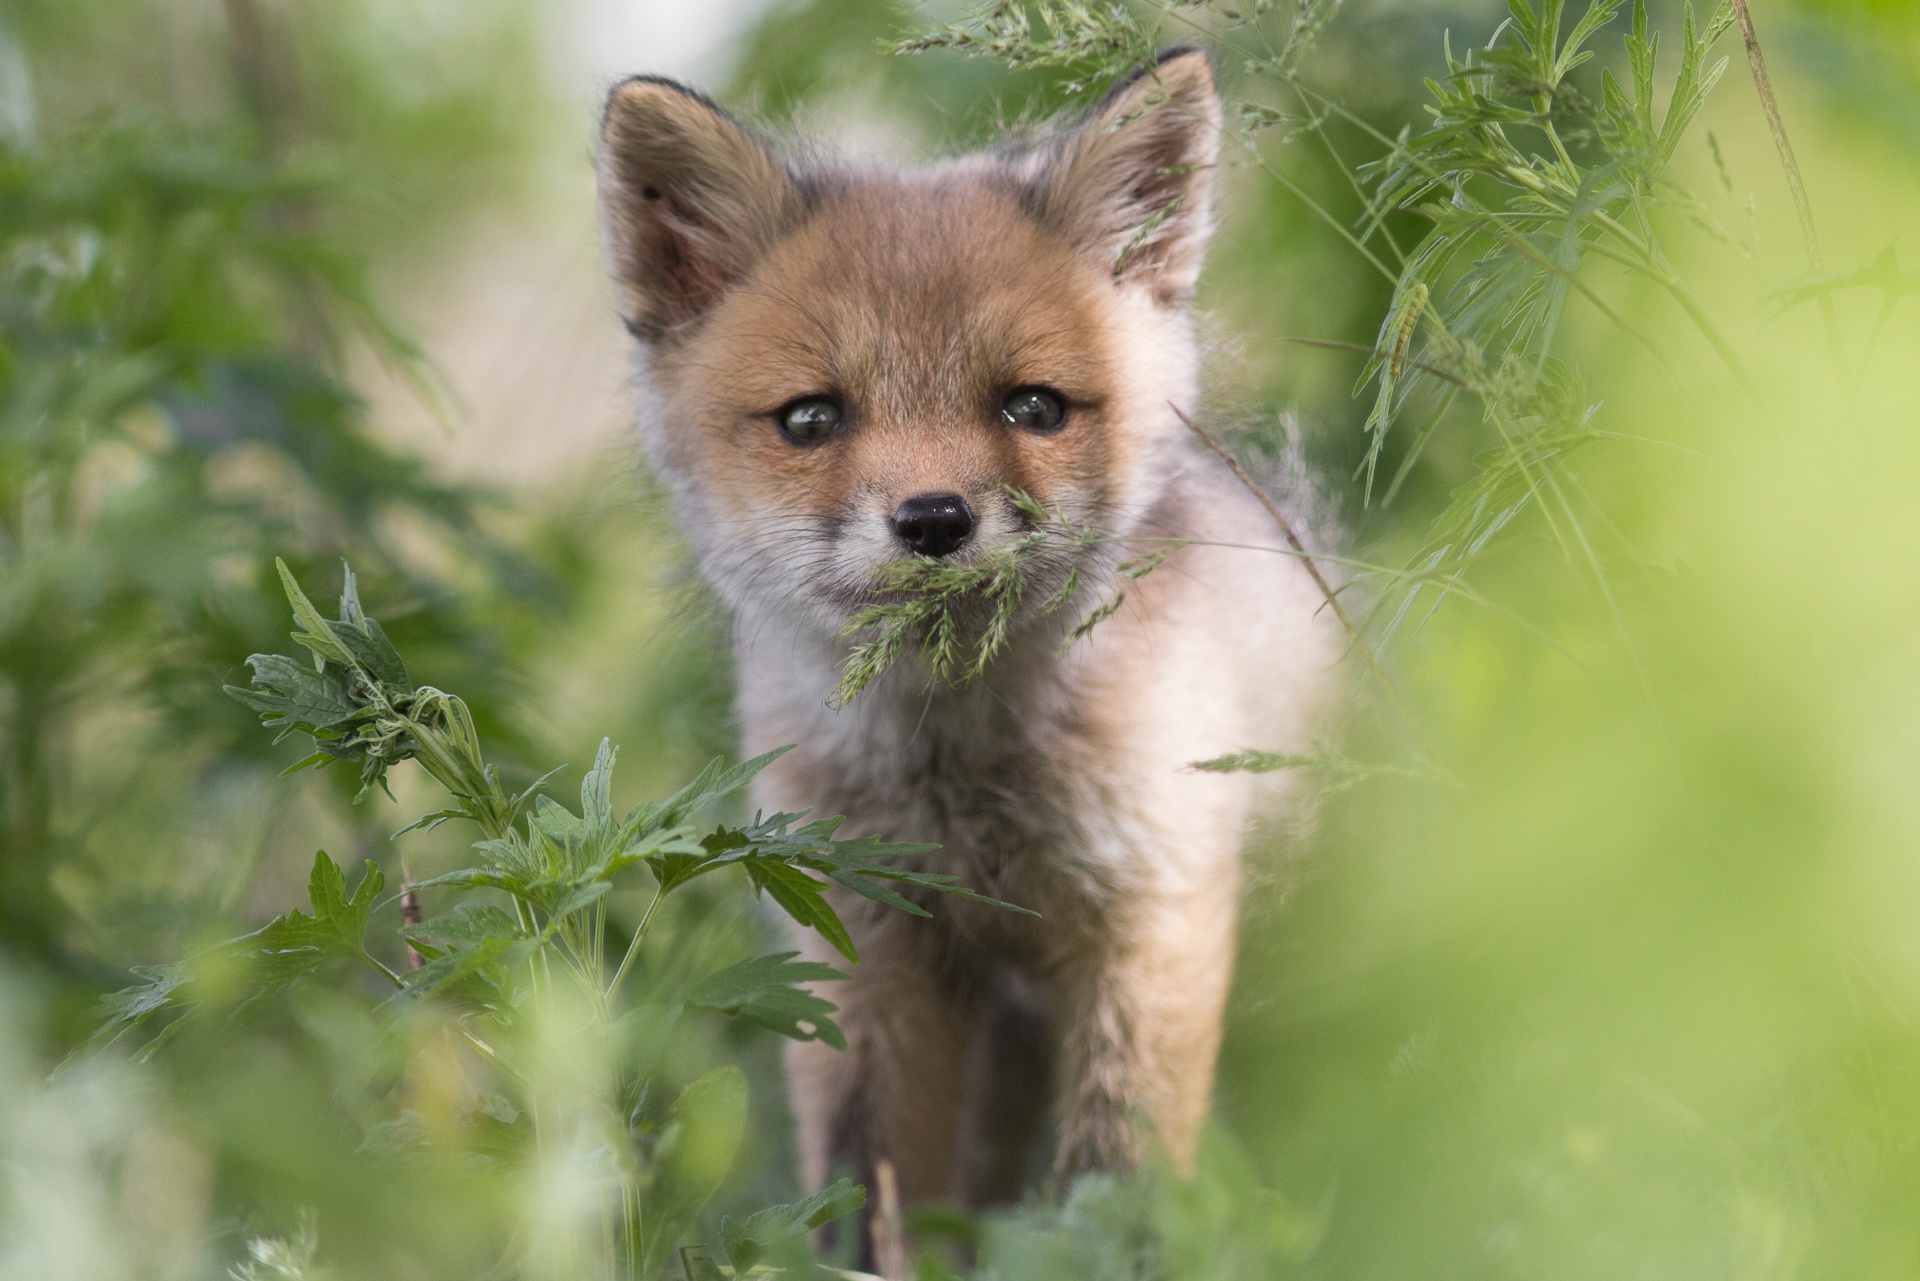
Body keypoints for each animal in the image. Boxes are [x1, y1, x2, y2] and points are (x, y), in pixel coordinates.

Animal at [595, 50, 1336, 1229]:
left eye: (1033, 407)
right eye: (811, 419)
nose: (935, 520)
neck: (960, 784)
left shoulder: (1154, 915)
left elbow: (1113, 1181)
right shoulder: (861, 944)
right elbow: (870, 1189)